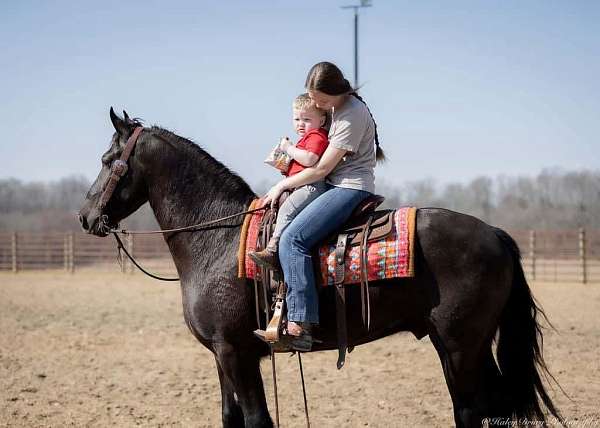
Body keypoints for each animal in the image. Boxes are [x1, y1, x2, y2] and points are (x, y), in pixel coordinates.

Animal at [78, 108, 564, 426]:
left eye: (106, 161)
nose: (85, 217)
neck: (216, 239)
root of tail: (494, 233)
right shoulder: (221, 355)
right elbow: (230, 418)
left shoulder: (238, 353)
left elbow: (256, 421)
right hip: (460, 346)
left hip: (462, 346)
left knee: (471, 410)